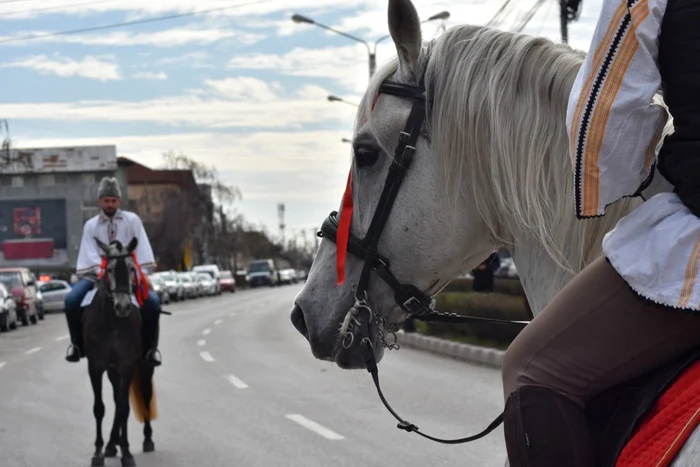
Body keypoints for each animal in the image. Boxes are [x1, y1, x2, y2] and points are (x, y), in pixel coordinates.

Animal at [83, 239, 157, 466]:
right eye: (109, 269)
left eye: (132, 268)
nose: (123, 306)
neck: (113, 323)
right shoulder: (95, 367)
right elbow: (100, 408)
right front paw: (98, 452)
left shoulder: (127, 365)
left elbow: (124, 408)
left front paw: (127, 453)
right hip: (113, 371)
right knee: (116, 400)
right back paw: (110, 444)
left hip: (145, 365)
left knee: (144, 395)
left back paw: (147, 439)